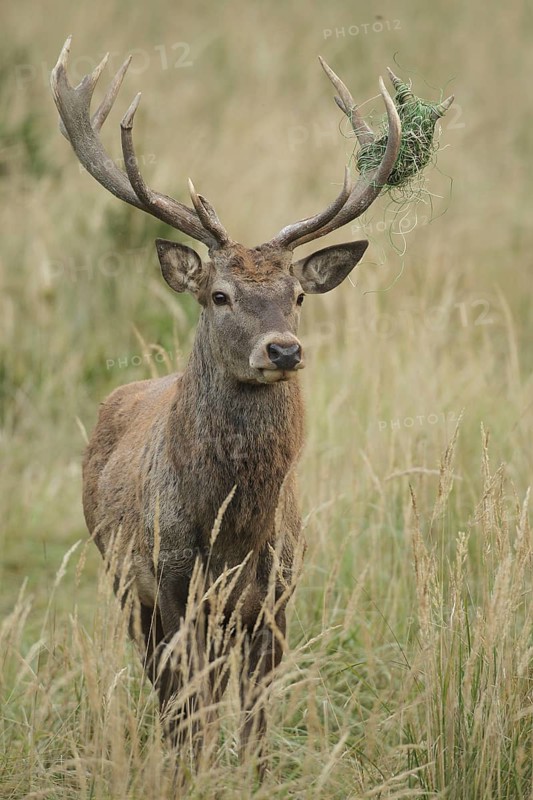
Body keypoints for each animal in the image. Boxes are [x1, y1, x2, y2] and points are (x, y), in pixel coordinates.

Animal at [51, 37, 452, 773]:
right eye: (219, 294)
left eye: (297, 295)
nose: (284, 350)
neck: (232, 534)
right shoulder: (171, 583)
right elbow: (190, 710)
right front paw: (193, 774)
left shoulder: (278, 594)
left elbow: (257, 716)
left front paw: (254, 776)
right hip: (120, 580)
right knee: (164, 688)